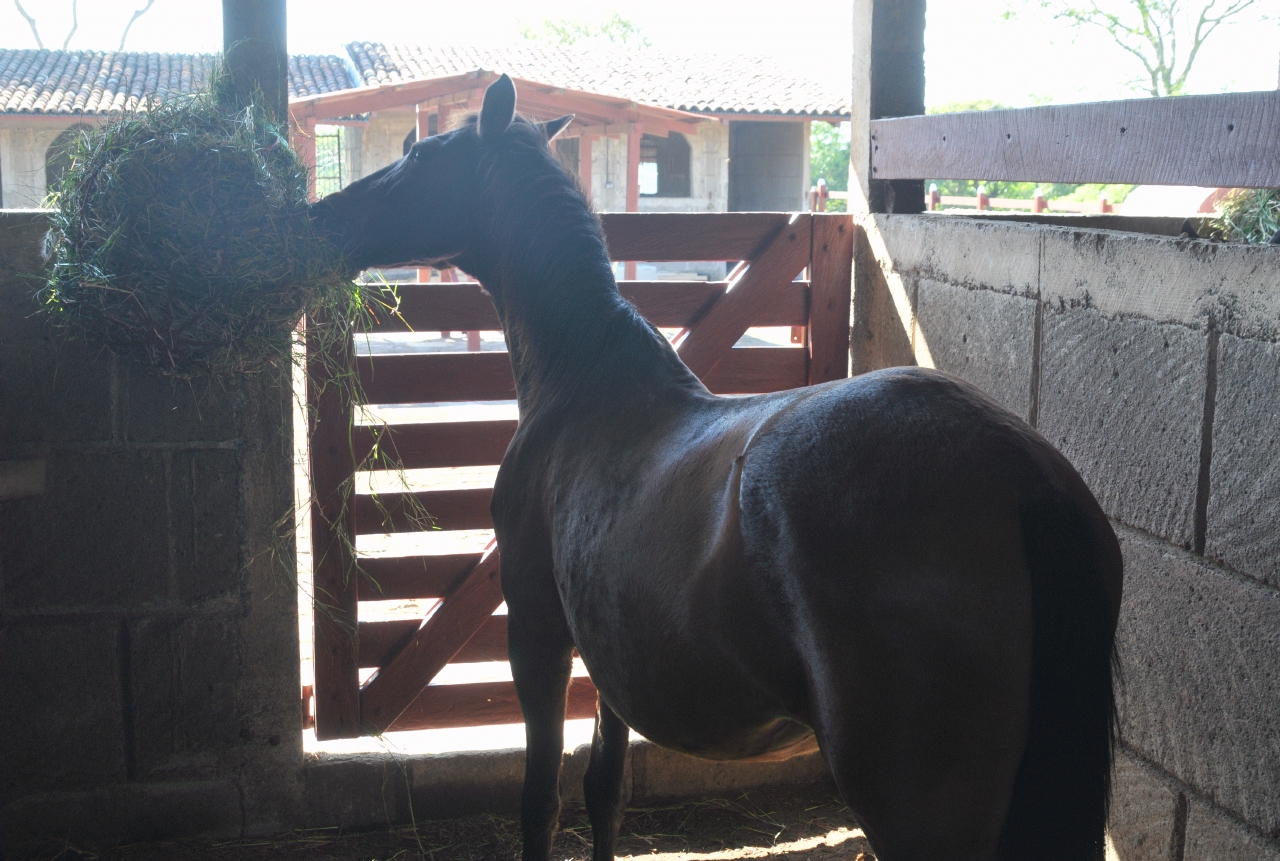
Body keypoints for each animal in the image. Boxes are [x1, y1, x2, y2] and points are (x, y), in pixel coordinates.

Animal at [309, 75, 1121, 859]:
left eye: (419, 156)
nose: (324, 216)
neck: (585, 382)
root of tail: (1022, 474)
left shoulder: (538, 633)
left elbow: (540, 803)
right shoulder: (609, 650)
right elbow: (605, 790)